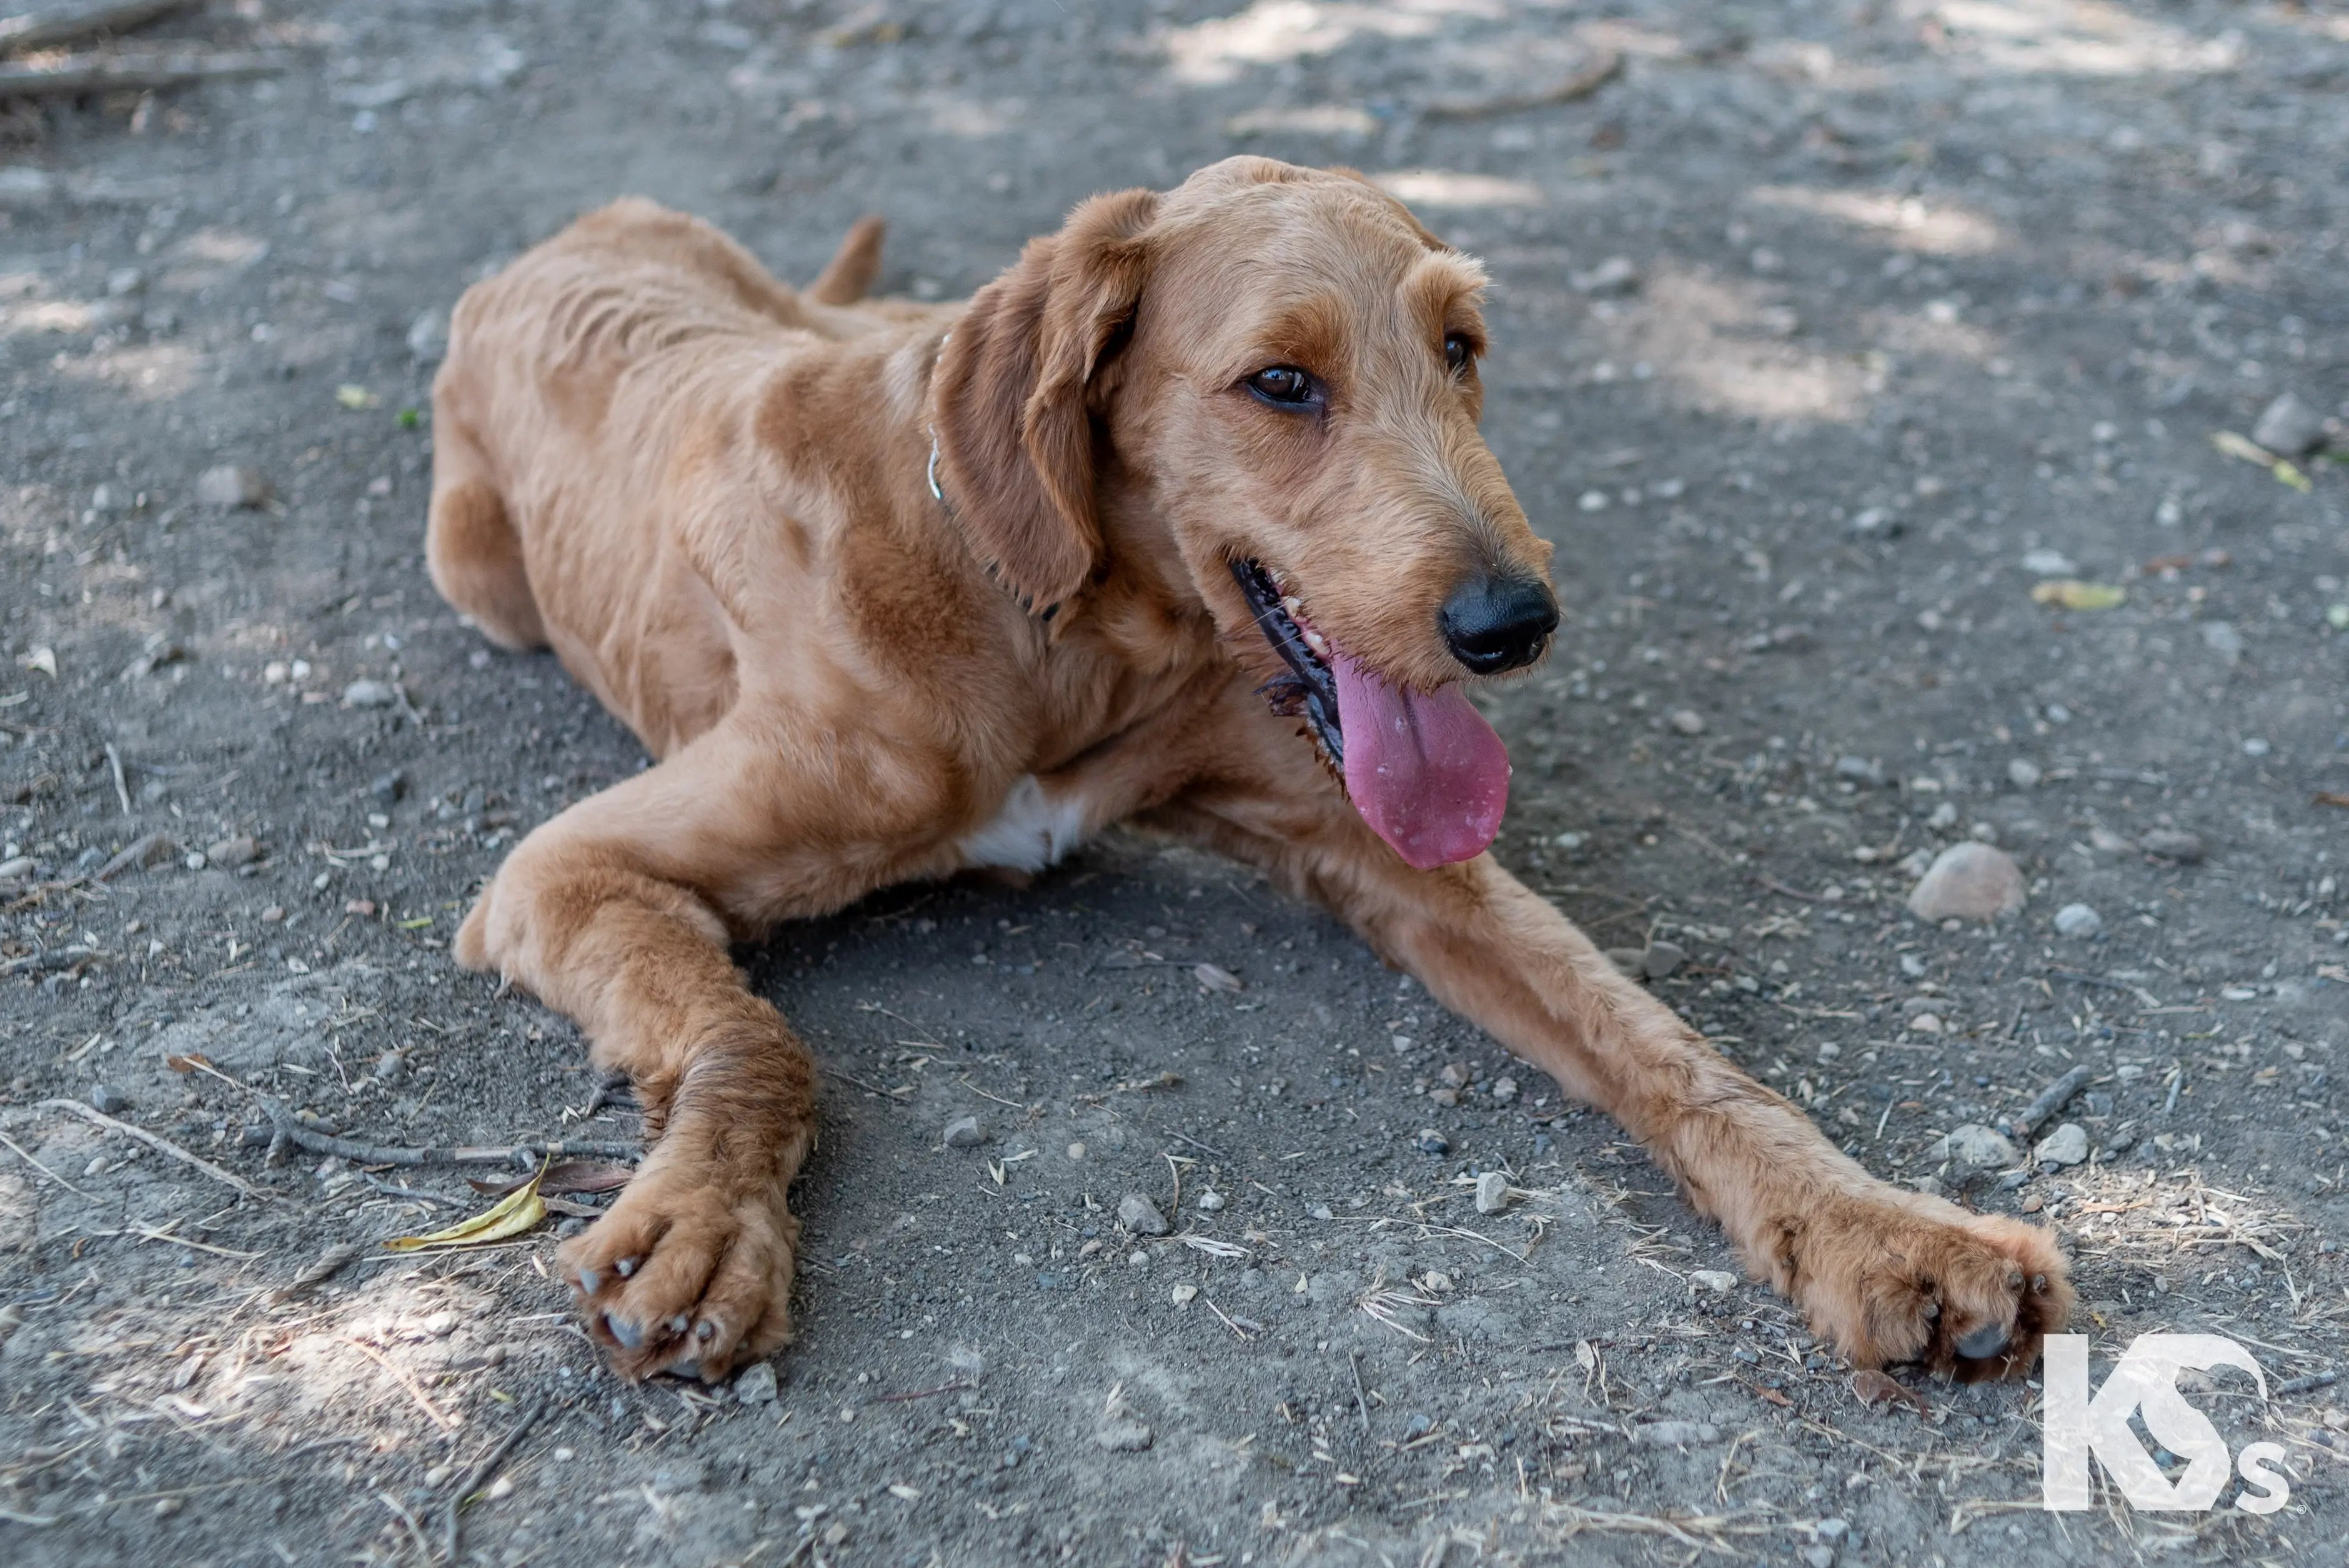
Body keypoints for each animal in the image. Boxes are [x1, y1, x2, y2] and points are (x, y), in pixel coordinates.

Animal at [427, 159, 2076, 1380]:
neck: (1055, 623)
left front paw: (1878, 1229)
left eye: (1461, 348)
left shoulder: (1387, 851)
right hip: (477, 575)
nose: (1512, 624)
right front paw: (703, 1217)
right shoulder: (561, 871)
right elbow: (754, 1037)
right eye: (1281, 383)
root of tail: (581, 226)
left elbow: (1664, 1043)